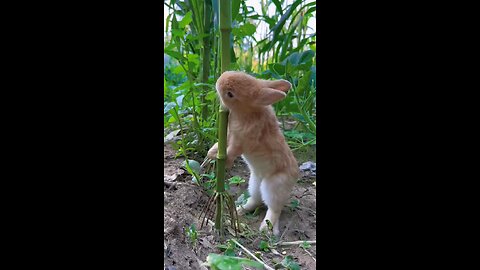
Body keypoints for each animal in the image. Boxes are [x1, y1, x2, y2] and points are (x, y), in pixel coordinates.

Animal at [207, 70, 300, 235]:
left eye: (230, 94)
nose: (219, 80)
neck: (248, 111)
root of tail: (295, 176)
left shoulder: (241, 142)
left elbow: (232, 151)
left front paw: (225, 162)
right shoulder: (229, 135)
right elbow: (220, 145)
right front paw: (211, 154)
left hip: (274, 186)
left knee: (274, 208)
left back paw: (265, 228)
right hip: (255, 183)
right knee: (255, 200)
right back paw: (239, 210)